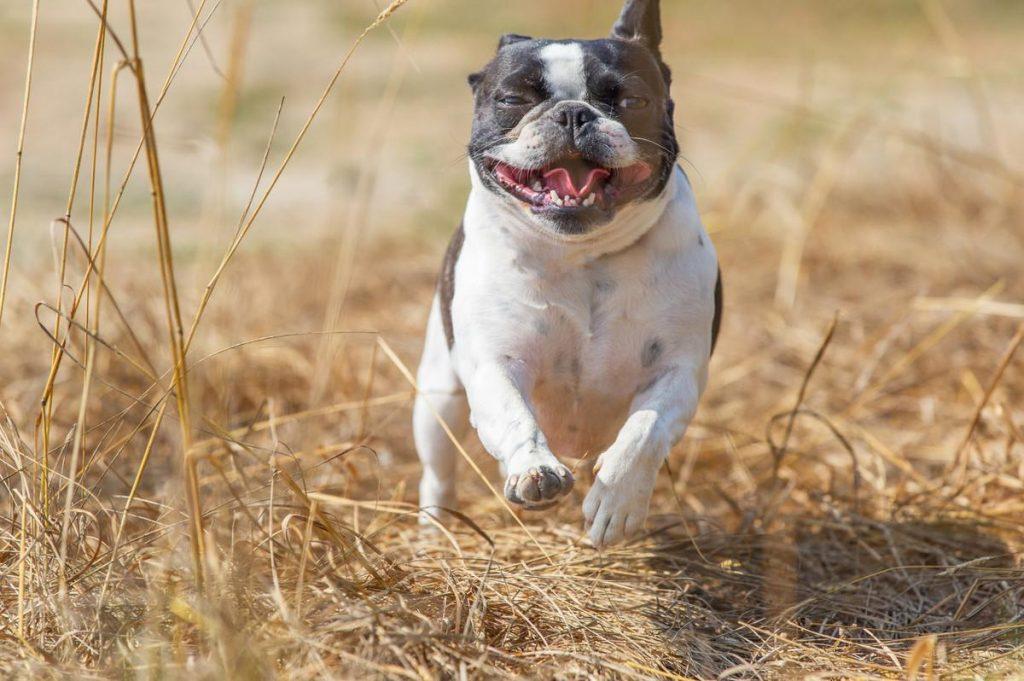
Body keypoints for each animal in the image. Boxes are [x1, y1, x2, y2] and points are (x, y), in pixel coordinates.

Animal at [409, 0, 720, 544]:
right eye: (513, 98)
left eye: (632, 99)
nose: (573, 112)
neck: (582, 256)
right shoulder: (495, 363)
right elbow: (514, 416)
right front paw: (535, 469)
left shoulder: (678, 370)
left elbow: (643, 432)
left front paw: (617, 501)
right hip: (437, 396)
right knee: (439, 469)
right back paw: (437, 525)